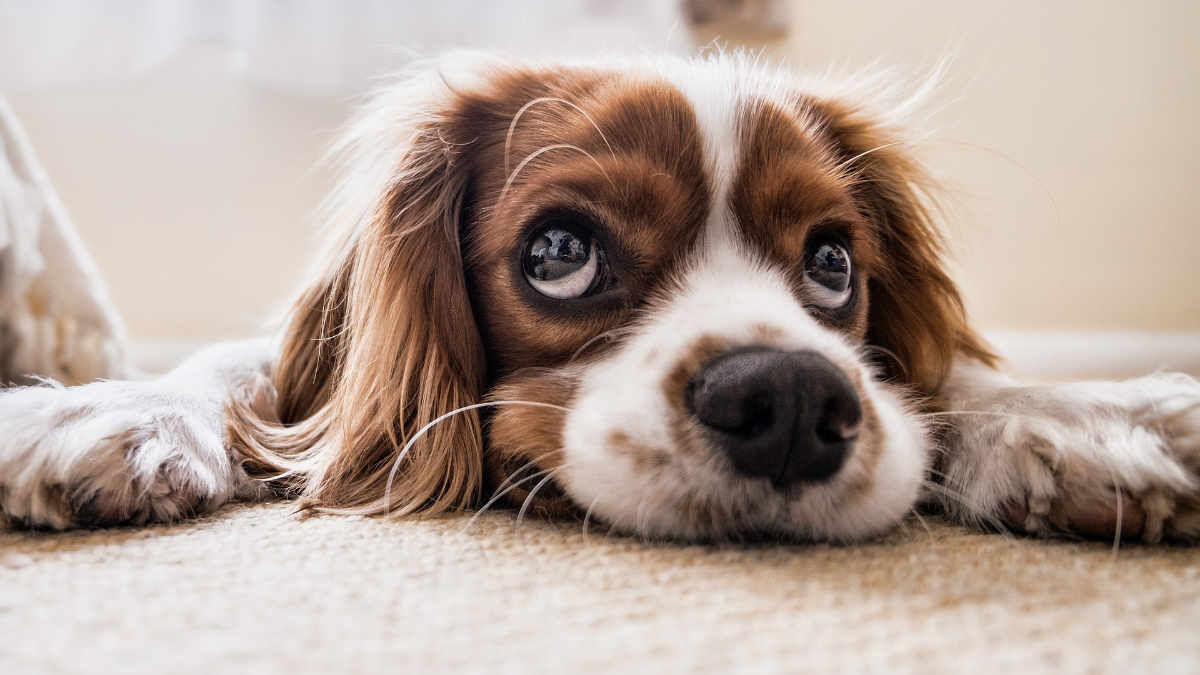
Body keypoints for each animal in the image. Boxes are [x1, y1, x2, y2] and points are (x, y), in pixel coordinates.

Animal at [2, 53, 1200, 540]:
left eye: (832, 264)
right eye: (560, 252)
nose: (791, 400)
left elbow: (949, 379)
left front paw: (1086, 418)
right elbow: (238, 369)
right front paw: (106, 410)